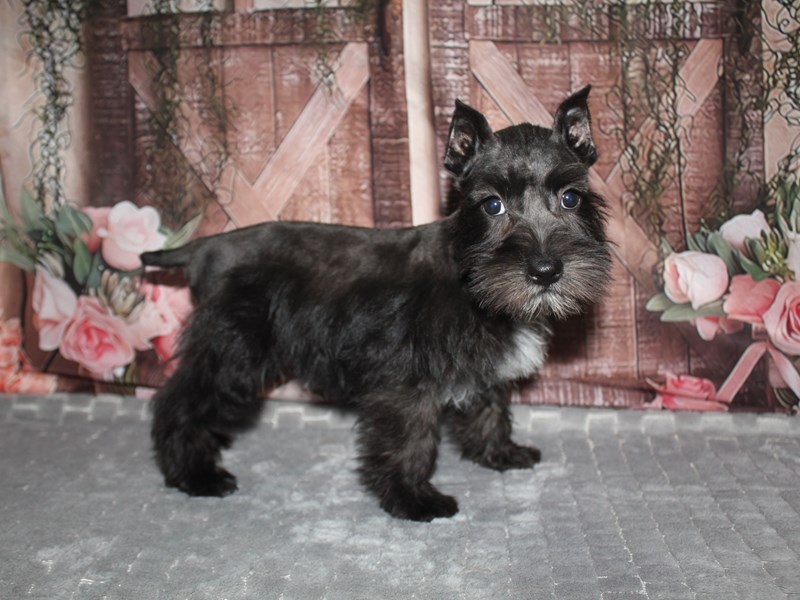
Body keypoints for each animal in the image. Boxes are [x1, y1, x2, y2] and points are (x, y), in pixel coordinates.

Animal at [140, 86, 612, 521]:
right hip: (233, 353)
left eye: (571, 197)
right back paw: (198, 475)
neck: (468, 276)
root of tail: (205, 248)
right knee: (179, 403)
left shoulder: (481, 368)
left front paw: (499, 453)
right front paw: (413, 499)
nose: (546, 271)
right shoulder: (404, 384)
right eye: (492, 204)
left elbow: (490, 406)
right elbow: (410, 441)